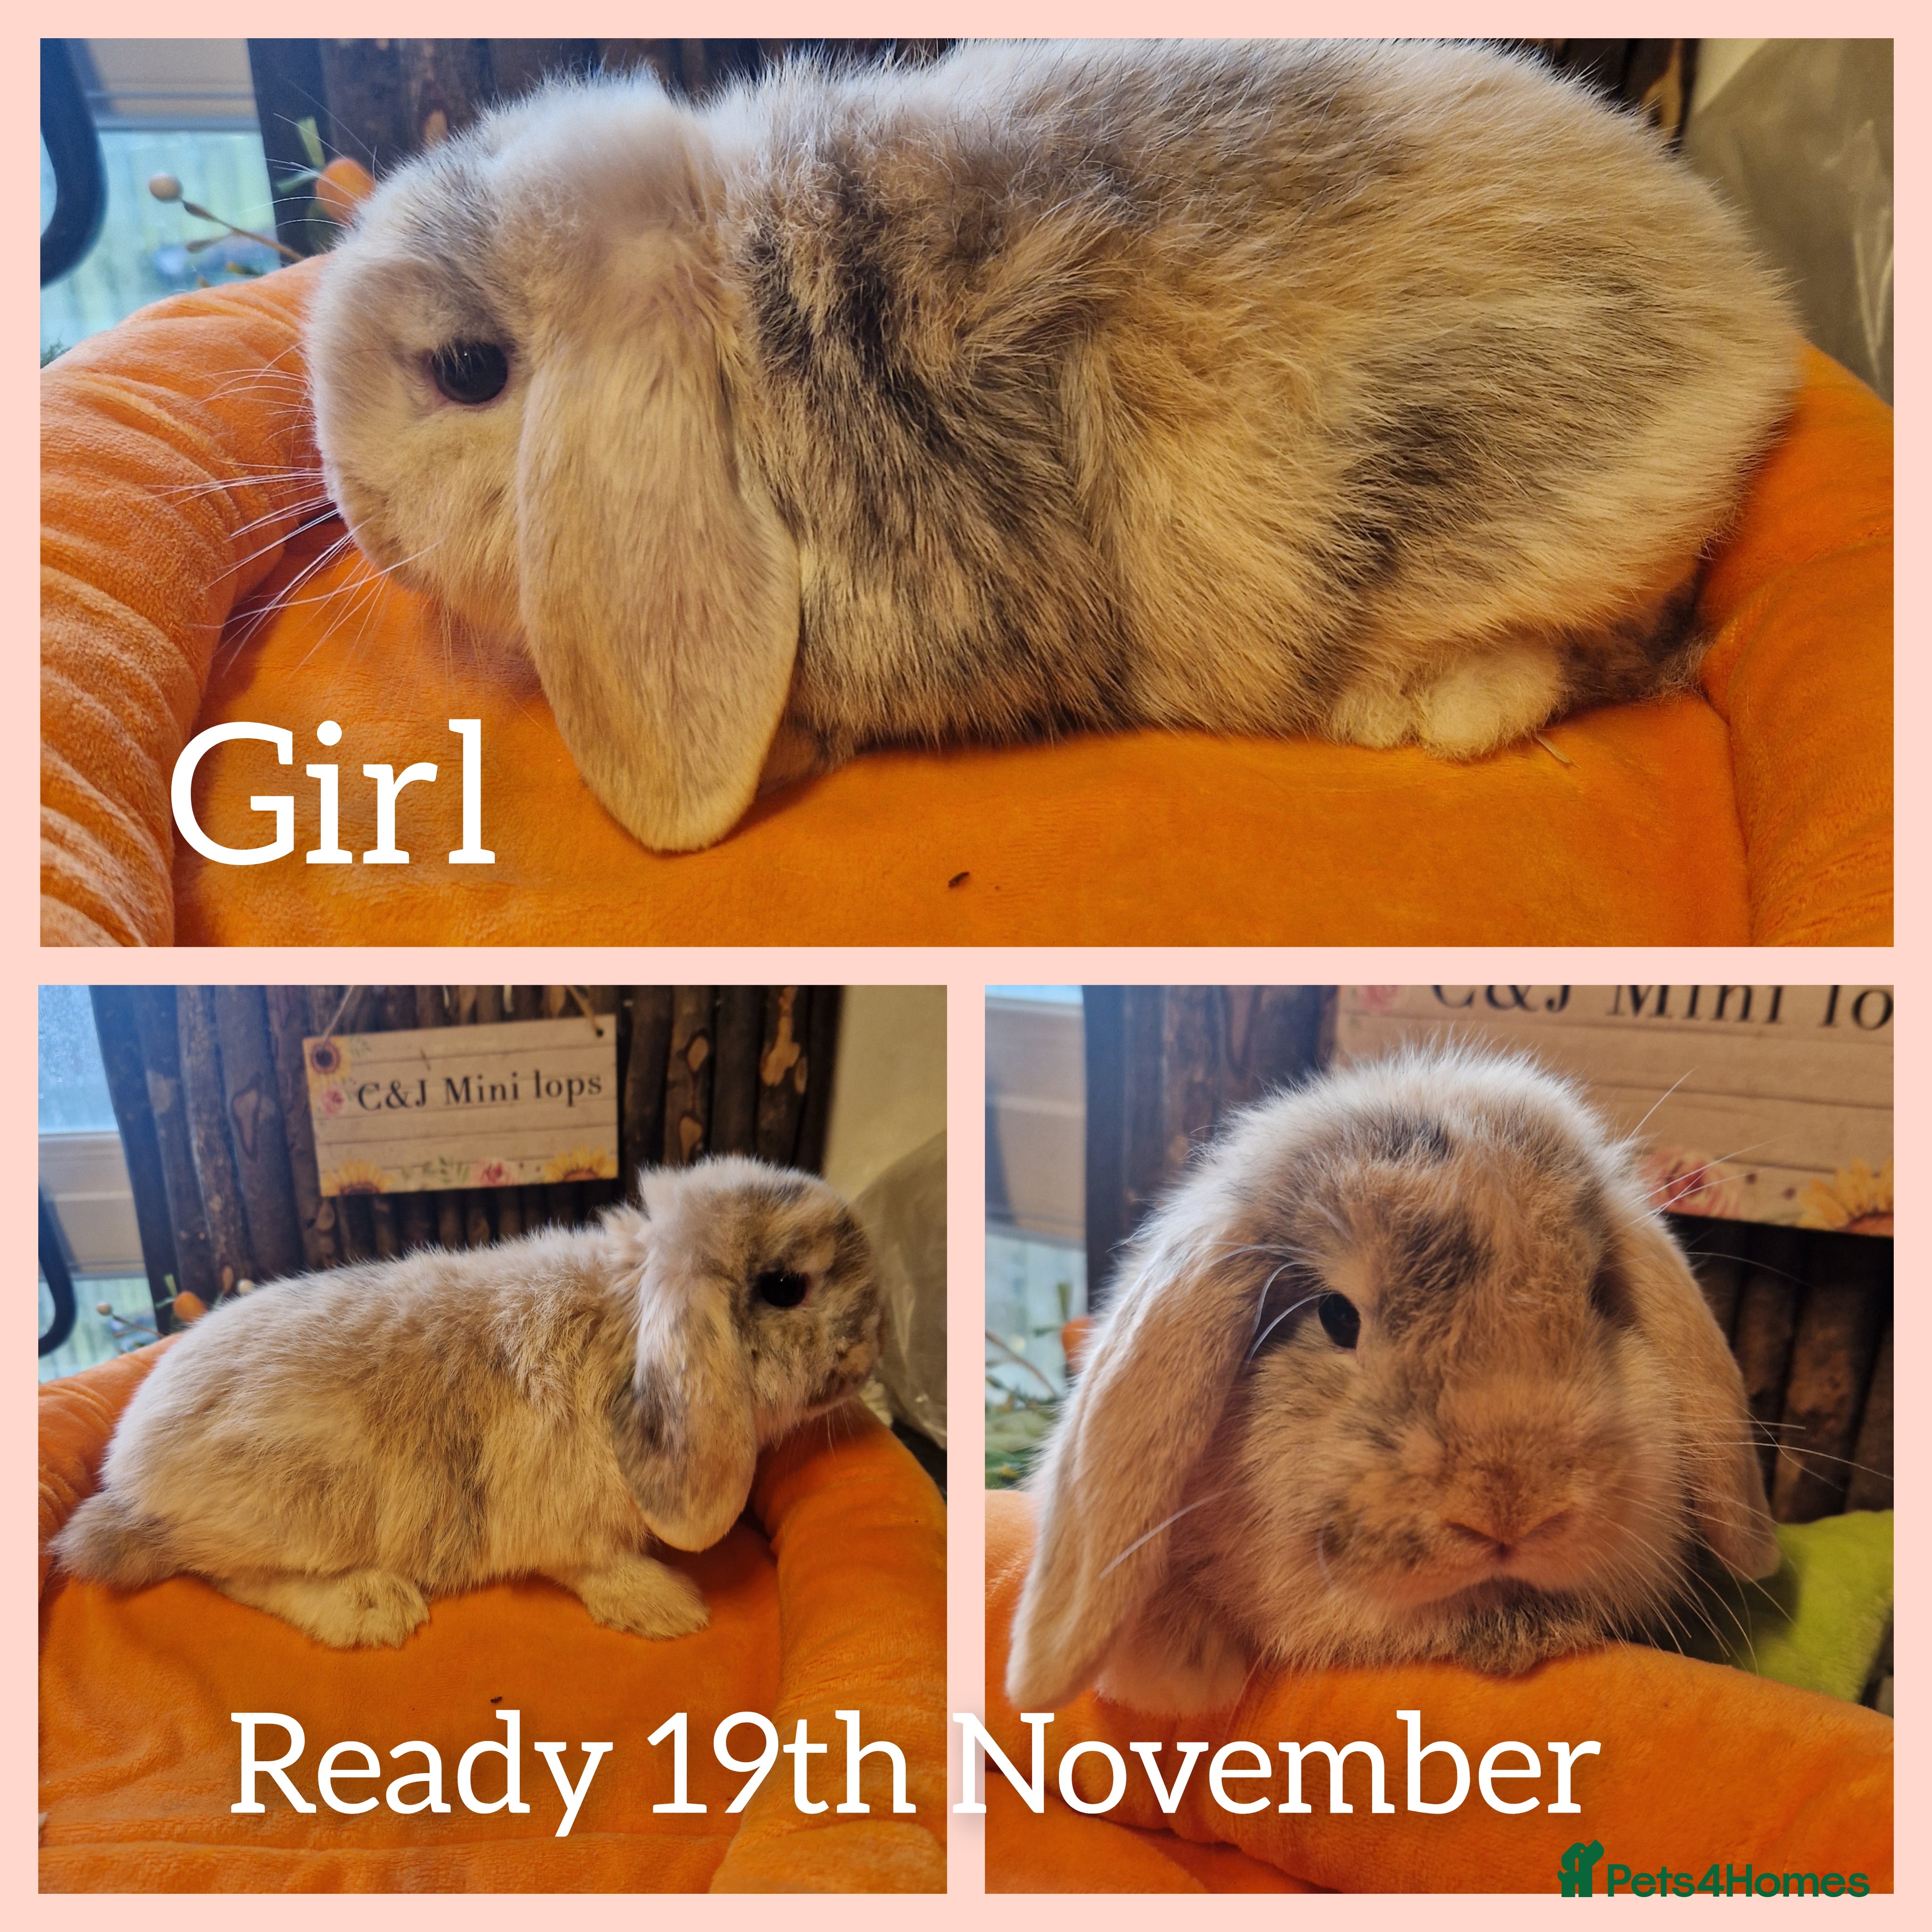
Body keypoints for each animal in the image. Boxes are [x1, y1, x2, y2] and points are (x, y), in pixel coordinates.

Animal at [52, 1158, 881, 1649]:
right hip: (301, 1502)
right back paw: (373, 1606)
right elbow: (598, 1564)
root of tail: (126, 1479)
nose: (869, 1354)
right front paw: (670, 1609)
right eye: (785, 1287)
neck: (626, 1326)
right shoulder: (565, 1518)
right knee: (229, 1572)